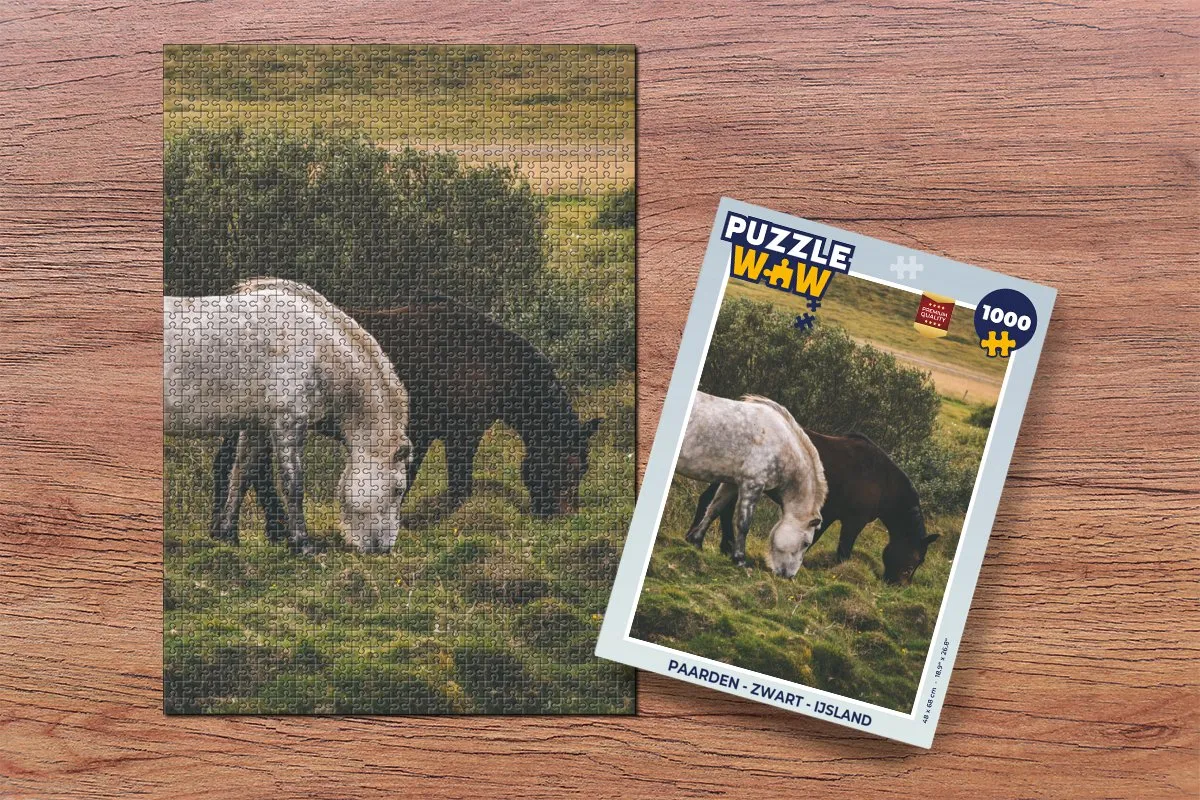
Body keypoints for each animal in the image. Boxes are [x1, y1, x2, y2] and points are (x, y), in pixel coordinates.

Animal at [165, 278, 412, 554]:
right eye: (398, 489)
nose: (384, 548)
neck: (315, 347)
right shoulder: (288, 425)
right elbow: (292, 484)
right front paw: (303, 544)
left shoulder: (257, 427)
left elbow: (241, 474)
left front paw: (228, 534)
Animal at [212, 295, 601, 543]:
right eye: (568, 465)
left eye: (583, 468)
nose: (566, 517)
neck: (487, 360)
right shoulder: (460, 435)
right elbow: (454, 486)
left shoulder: (425, 435)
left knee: (236, 466)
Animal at [675, 392, 826, 578]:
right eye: (806, 543)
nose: (789, 576)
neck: (781, 443)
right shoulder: (752, 485)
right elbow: (744, 523)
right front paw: (740, 559)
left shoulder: (731, 484)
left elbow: (714, 510)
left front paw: (696, 541)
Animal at [688, 430, 939, 585]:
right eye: (916, 560)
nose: (899, 584)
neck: (883, 482)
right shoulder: (852, 522)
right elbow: (843, 551)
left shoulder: (827, 514)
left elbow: (812, 540)